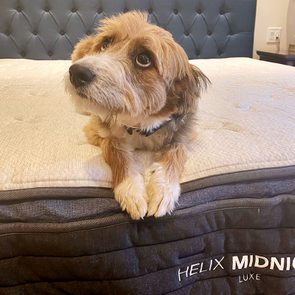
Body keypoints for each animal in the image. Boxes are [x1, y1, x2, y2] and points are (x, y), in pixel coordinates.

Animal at [65, 11, 208, 220]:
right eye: (106, 43)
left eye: (143, 59)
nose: (77, 72)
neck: (140, 124)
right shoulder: (98, 132)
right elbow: (116, 149)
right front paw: (130, 189)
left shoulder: (184, 135)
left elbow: (176, 151)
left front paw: (163, 189)